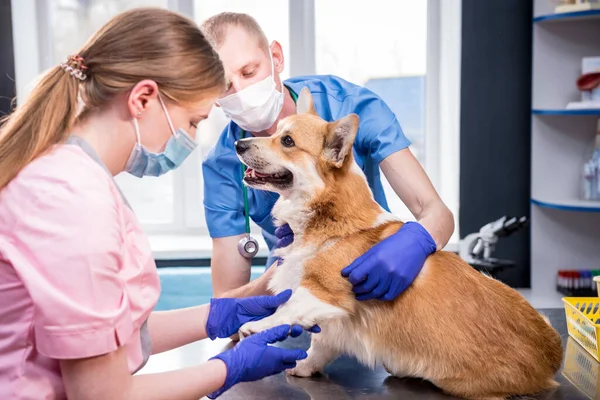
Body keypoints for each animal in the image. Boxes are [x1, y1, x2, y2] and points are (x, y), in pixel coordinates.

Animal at [234, 88, 564, 400]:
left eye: (287, 141)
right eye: (275, 133)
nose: (239, 144)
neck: (330, 219)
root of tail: (550, 359)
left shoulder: (325, 293)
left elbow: (288, 309)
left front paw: (256, 327)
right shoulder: (332, 321)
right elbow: (319, 345)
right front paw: (302, 367)